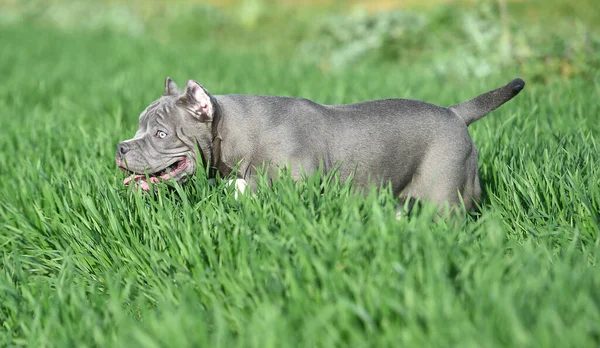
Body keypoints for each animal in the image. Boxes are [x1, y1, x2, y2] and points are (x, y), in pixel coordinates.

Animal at [115, 77, 524, 216]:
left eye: (161, 134)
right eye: (138, 126)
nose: (120, 147)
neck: (235, 131)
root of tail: (455, 113)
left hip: (447, 194)